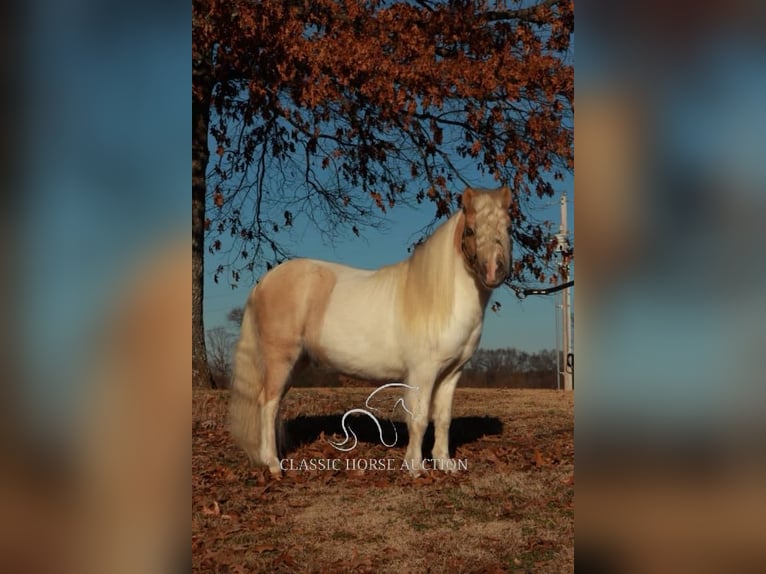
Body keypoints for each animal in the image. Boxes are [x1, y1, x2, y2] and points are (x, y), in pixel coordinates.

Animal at [231, 187, 512, 474]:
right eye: (470, 230)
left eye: (508, 227)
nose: (494, 270)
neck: (438, 300)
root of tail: (263, 282)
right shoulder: (422, 373)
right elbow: (419, 418)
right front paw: (415, 467)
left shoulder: (451, 374)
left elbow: (443, 419)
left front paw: (445, 463)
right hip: (280, 358)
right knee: (267, 403)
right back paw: (273, 464)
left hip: (296, 362)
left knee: (275, 404)